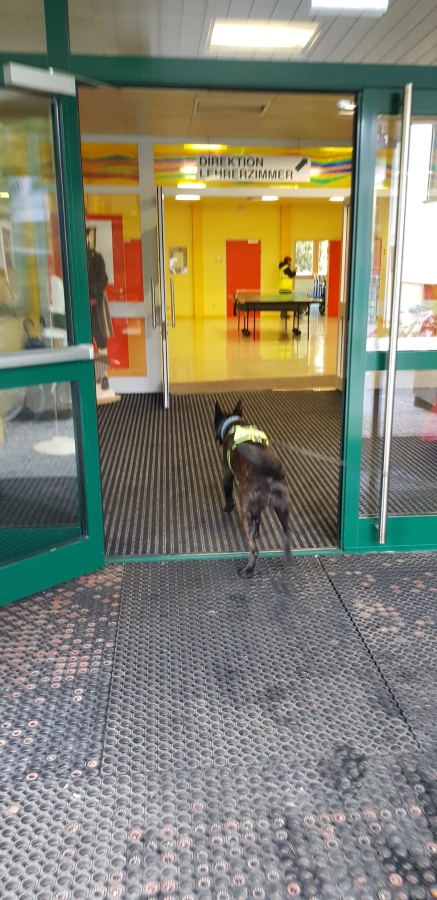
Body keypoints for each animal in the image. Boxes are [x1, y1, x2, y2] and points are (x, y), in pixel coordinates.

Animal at [214, 399, 291, 577]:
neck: (234, 424)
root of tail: (269, 472)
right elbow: (257, 521)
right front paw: (257, 531)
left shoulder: (227, 474)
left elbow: (228, 494)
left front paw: (228, 507)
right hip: (282, 510)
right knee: (286, 536)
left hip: (244, 518)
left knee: (254, 550)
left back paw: (247, 570)